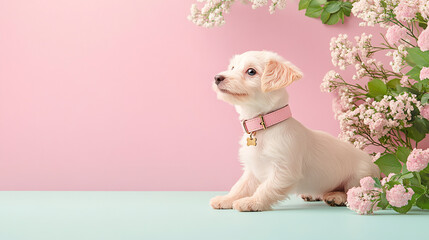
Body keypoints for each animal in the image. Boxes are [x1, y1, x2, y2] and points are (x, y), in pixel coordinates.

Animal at [210, 49, 378, 211]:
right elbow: (240, 186)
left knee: (352, 191)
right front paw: (227, 199)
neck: (264, 128)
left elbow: (266, 188)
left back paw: (336, 196)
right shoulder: (253, 169)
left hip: (358, 177)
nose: (217, 77)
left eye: (251, 71)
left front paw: (252, 202)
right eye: (232, 67)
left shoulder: (284, 171)